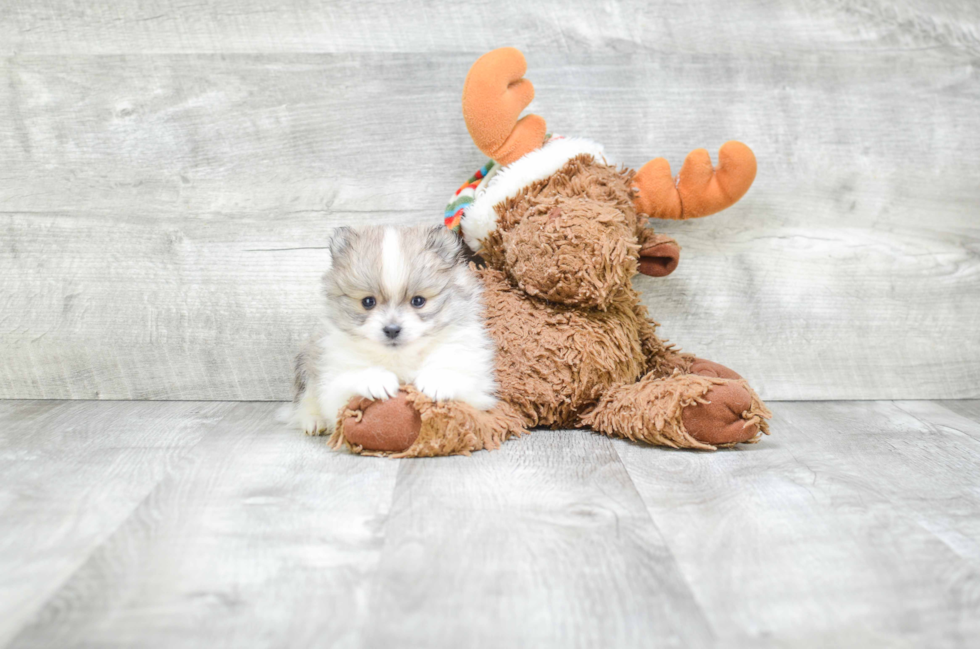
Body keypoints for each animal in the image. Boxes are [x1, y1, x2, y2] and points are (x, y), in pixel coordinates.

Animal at [284, 224, 498, 436]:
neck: (399, 358)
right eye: (368, 302)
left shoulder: (474, 377)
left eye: (418, 301)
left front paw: (437, 380)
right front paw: (375, 379)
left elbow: (457, 374)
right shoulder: (333, 378)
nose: (392, 329)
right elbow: (346, 381)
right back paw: (314, 421)